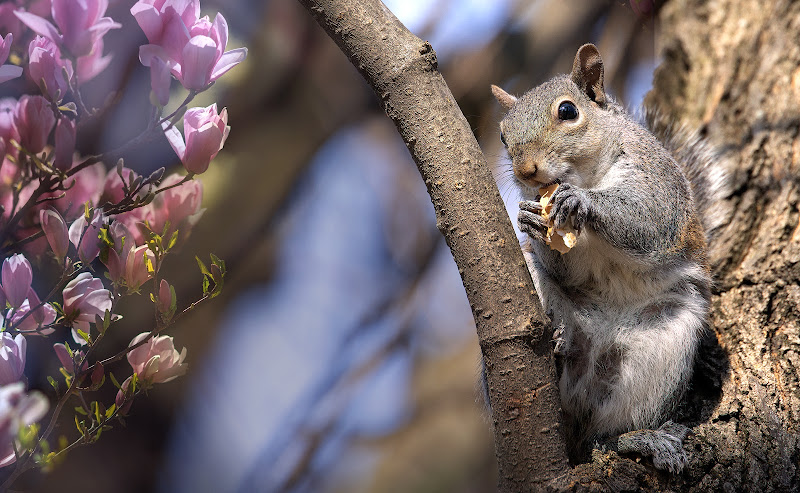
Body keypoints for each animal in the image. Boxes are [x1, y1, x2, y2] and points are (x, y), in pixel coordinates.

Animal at [490, 43, 728, 472]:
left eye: (568, 111)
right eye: (502, 135)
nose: (526, 171)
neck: (588, 176)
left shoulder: (658, 186)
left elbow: (647, 221)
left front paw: (582, 201)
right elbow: (566, 267)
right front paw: (530, 219)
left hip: (667, 339)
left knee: (603, 436)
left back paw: (641, 439)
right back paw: (557, 344)